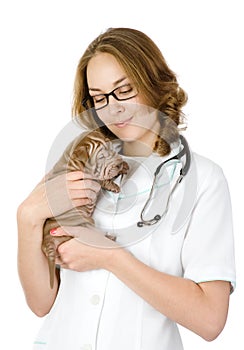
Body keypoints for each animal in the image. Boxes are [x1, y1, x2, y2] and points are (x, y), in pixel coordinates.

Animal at [42, 130, 129, 288]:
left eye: (112, 148)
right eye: (101, 157)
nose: (119, 163)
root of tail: (48, 241)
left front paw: (124, 165)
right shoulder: (88, 179)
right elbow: (103, 179)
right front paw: (114, 184)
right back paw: (109, 238)